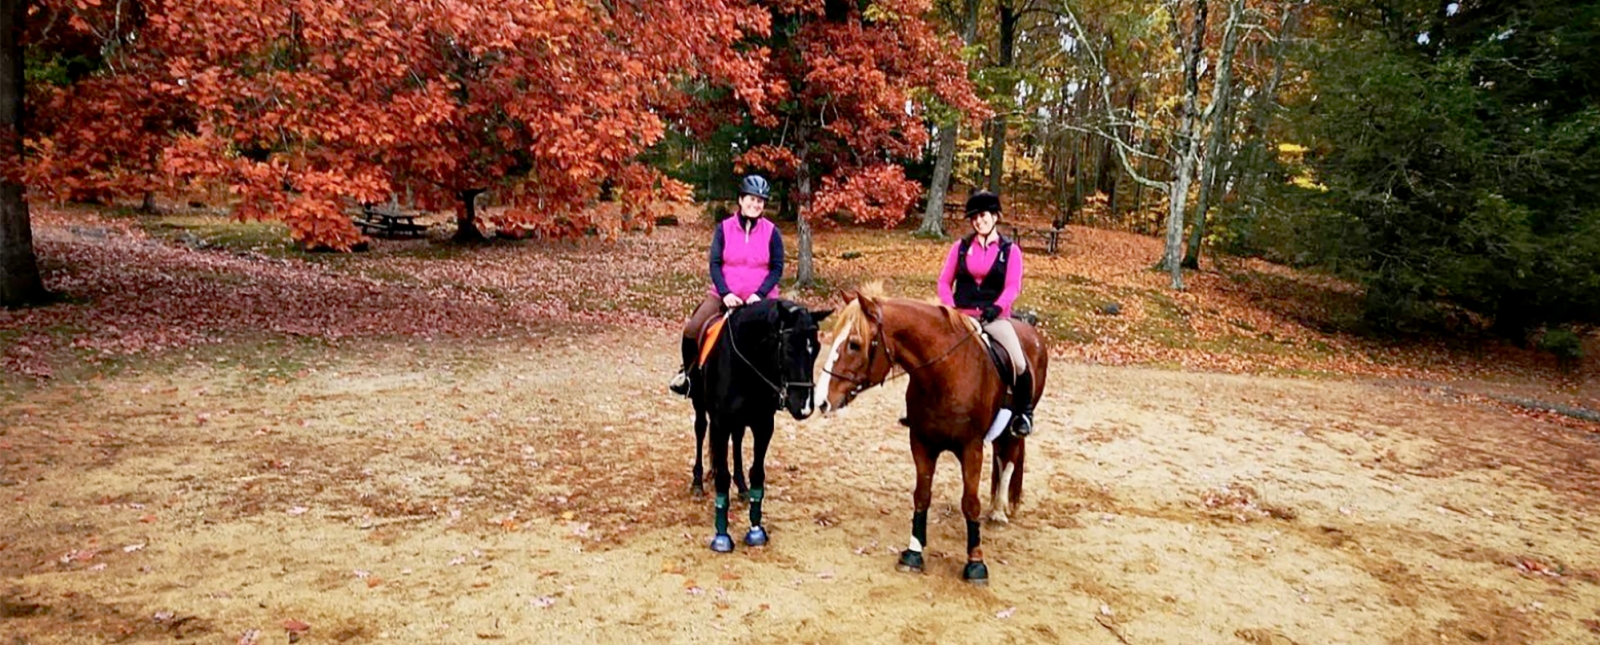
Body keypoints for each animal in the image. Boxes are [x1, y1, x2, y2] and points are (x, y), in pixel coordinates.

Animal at [819, 292, 1043, 585]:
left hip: (1014, 428)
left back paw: (998, 511)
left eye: (855, 344)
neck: (945, 373)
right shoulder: (921, 443)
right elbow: (922, 495)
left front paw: (975, 563)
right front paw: (913, 553)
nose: (822, 400)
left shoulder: (971, 448)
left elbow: (970, 503)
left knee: (1009, 460)